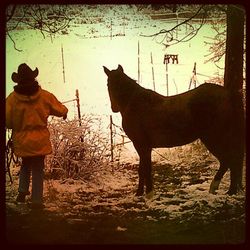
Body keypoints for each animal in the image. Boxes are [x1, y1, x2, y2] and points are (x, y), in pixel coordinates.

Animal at [103, 65, 244, 197]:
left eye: (108, 84)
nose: (114, 108)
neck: (134, 104)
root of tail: (228, 94)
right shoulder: (143, 146)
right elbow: (143, 169)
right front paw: (141, 193)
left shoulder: (141, 145)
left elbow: (145, 169)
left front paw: (147, 194)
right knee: (233, 161)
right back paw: (229, 191)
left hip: (213, 138)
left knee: (228, 160)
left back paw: (220, 189)